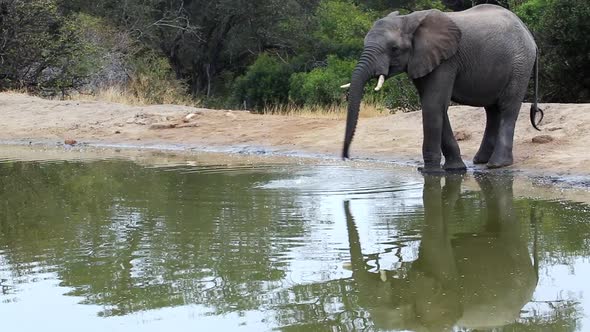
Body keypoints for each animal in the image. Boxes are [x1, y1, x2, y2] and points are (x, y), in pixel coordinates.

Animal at [342, 4, 544, 174]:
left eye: (394, 48)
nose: (345, 157)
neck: (410, 20)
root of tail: (530, 35)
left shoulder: (447, 60)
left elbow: (433, 105)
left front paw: (429, 173)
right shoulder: (424, 59)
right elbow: (436, 105)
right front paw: (455, 169)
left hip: (520, 65)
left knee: (507, 108)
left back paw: (497, 164)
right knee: (492, 110)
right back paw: (480, 161)